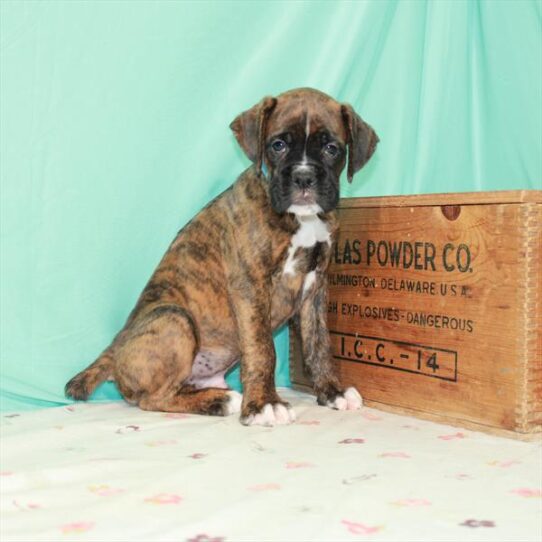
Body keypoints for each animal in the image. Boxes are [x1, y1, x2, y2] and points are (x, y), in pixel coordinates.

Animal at [66, 87, 380, 428]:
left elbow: (319, 343)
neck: (301, 219)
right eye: (278, 145)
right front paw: (264, 404)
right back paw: (221, 401)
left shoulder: (315, 285)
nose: (304, 178)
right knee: (151, 399)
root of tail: (115, 349)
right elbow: (262, 348)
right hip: (174, 318)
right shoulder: (250, 285)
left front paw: (332, 391)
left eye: (332, 148)